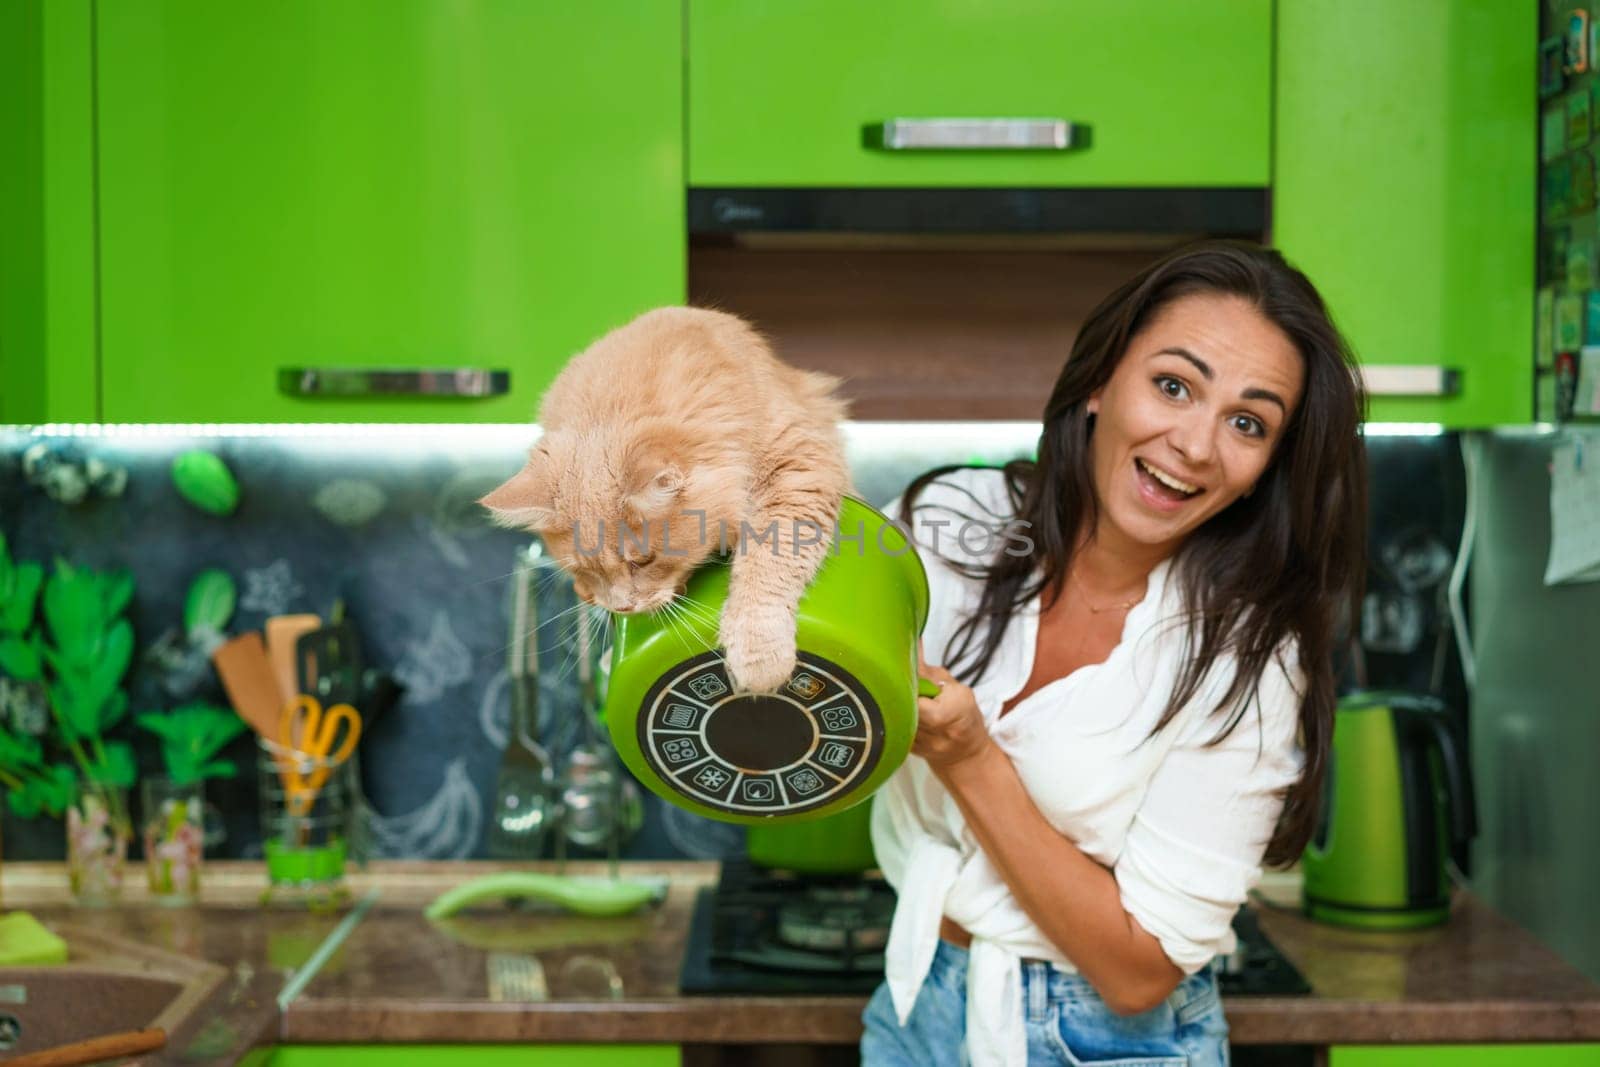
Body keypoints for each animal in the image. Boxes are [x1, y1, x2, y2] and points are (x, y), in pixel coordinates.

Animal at [480, 303, 851, 697]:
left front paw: (758, 657)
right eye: (585, 570)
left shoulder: (800, 467)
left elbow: (768, 564)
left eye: (643, 561)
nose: (625, 608)